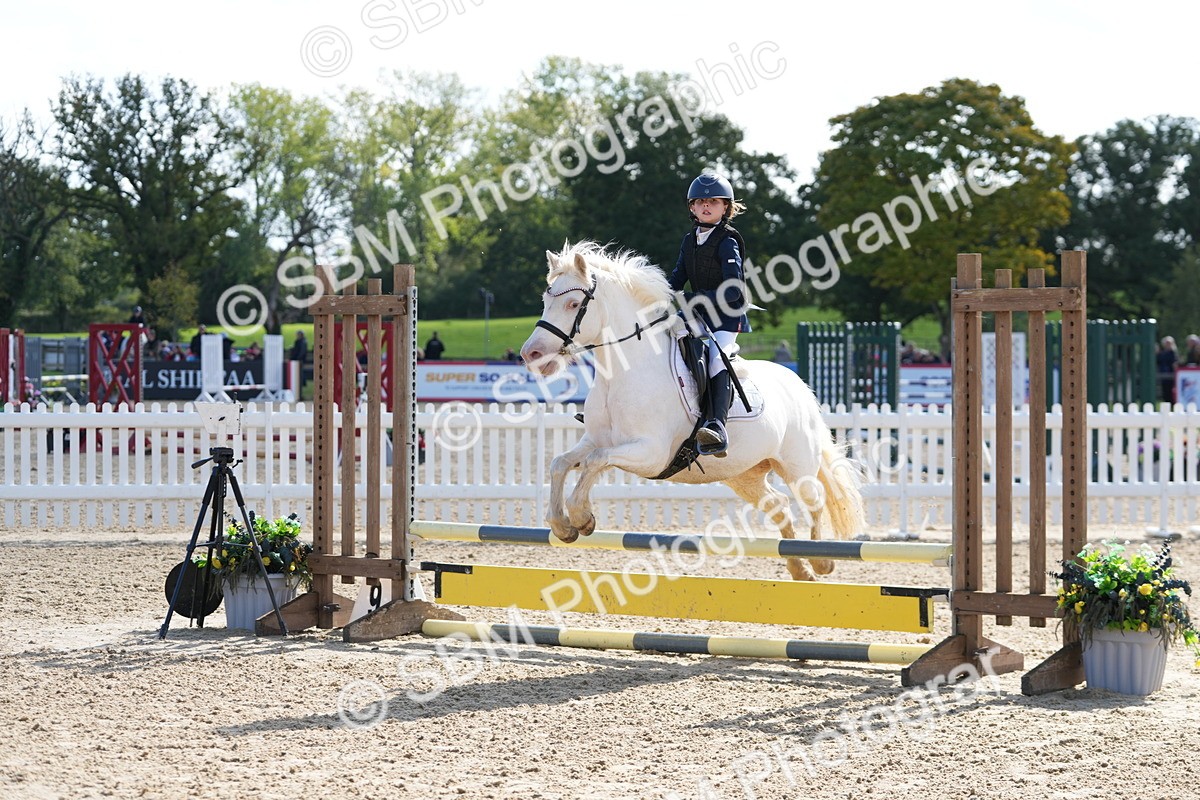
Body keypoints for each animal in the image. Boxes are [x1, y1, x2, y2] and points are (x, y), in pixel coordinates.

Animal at [519, 241, 866, 581]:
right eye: (545, 300)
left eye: (573, 304)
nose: (530, 354)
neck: (623, 371)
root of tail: (799, 385)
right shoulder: (596, 440)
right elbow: (561, 463)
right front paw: (562, 525)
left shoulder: (650, 453)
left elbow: (594, 462)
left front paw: (582, 517)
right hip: (743, 474)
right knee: (778, 505)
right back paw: (799, 569)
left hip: (796, 464)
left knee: (814, 501)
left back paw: (821, 562)